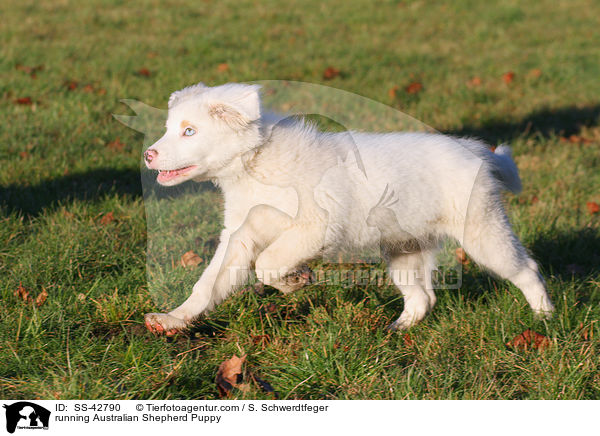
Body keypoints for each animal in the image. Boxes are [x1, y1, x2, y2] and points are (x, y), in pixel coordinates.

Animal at [143, 81, 556, 334]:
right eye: (168, 128)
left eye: (189, 131)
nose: (148, 154)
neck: (255, 164)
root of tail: (476, 151)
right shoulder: (239, 235)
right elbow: (208, 284)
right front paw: (173, 319)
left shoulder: (315, 227)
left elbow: (268, 263)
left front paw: (295, 281)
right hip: (404, 248)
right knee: (423, 297)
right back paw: (399, 328)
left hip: (483, 233)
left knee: (527, 269)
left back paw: (545, 316)